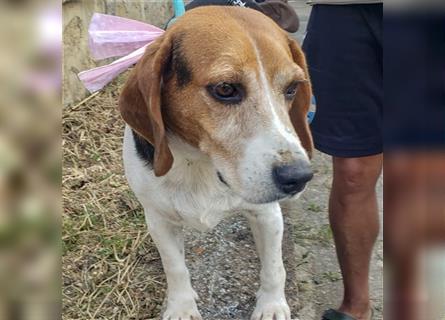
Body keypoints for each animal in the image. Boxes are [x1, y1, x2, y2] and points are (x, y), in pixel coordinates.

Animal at [118, 5, 312, 320]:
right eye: (225, 88)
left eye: (292, 88)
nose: (299, 177)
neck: (202, 163)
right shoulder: (158, 219)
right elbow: (175, 267)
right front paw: (181, 307)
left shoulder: (267, 213)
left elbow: (274, 267)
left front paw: (271, 305)